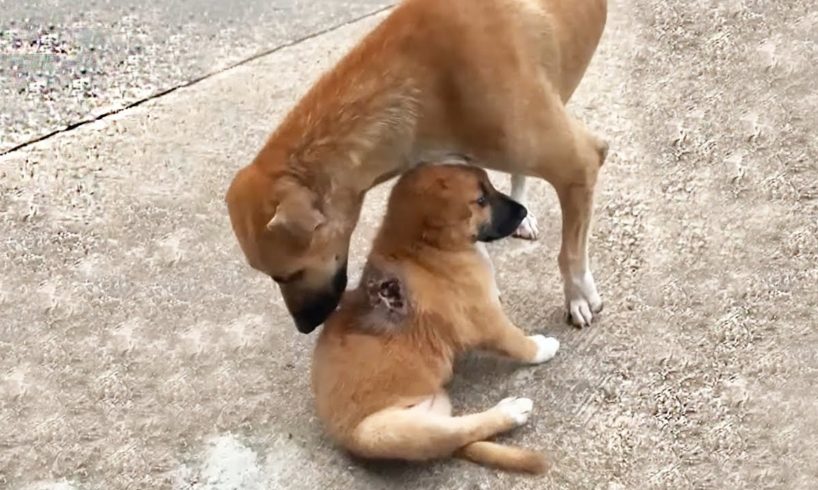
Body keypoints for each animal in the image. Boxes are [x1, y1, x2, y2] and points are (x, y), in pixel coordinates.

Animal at [223, 0, 604, 334]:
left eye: (285, 275)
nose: (304, 327)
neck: (422, 79)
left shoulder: (581, 163)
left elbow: (570, 253)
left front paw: (579, 296)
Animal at [312, 165, 560, 474]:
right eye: (481, 200)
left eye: (491, 185)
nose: (524, 211)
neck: (426, 249)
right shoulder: (486, 321)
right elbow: (518, 342)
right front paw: (543, 348)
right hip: (387, 431)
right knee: (461, 430)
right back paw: (511, 411)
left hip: (436, 405)